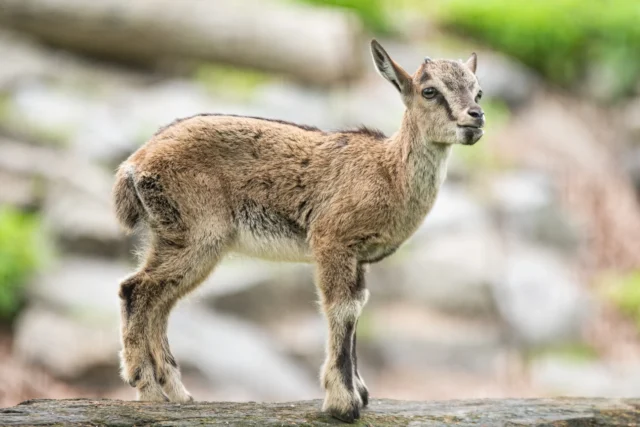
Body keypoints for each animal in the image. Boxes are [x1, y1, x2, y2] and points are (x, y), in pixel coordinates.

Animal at [114, 40, 484, 422]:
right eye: (430, 91)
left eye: (478, 91)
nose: (476, 117)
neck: (388, 171)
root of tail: (135, 163)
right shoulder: (331, 240)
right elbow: (342, 310)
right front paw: (343, 404)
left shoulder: (359, 258)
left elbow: (358, 308)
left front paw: (361, 392)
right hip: (196, 235)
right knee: (136, 290)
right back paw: (149, 390)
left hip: (176, 238)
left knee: (159, 303)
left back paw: (177, 394)